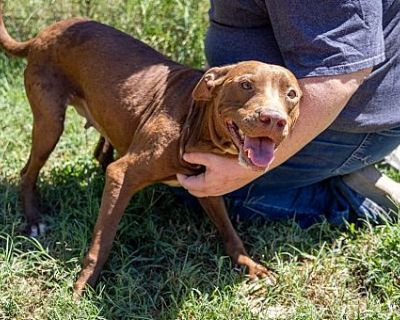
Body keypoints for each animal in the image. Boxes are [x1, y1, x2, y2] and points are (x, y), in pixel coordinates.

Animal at [0, 14, 300, 296]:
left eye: (292, 94)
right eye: (246, 85)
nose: (274, 120)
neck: (193, 122)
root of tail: (41, 35)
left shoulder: (209, 184)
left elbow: (229, 230)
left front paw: (249, 264)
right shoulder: (122, 175)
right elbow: (102, 241)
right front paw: (85, 285)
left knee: (99, 151)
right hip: (50, 123)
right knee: (28, 172)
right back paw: (34, 220)